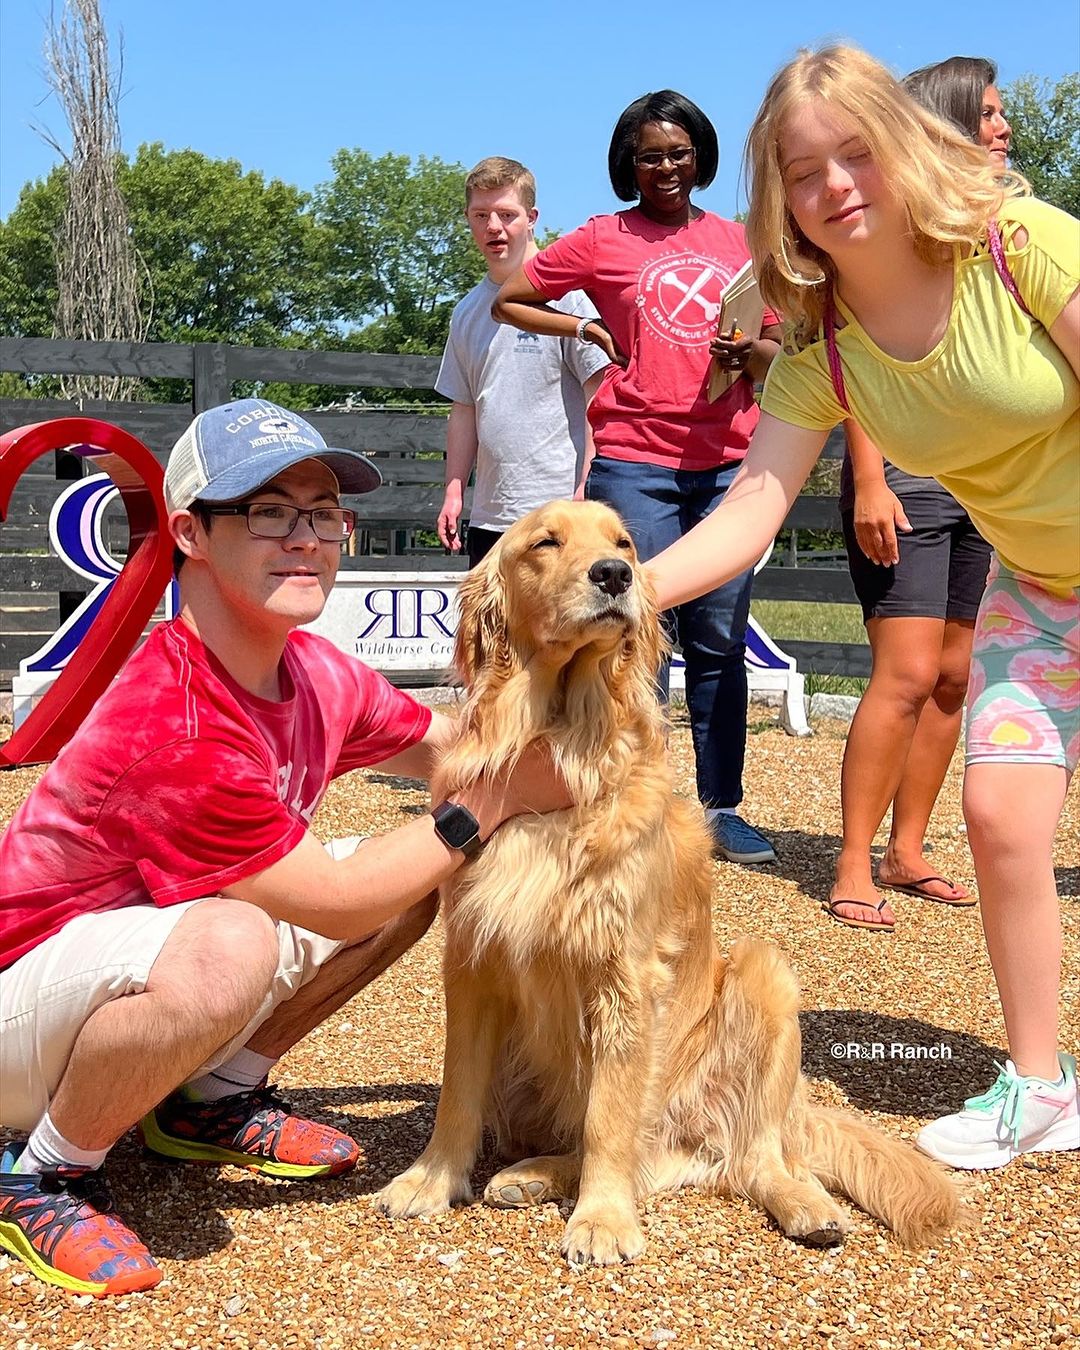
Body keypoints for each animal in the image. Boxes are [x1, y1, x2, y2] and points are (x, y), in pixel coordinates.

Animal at [378, 499, 961, 1263]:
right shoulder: (473, 957)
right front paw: (432, 1179)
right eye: (545, 542)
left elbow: (609, 1117)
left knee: (751, 1156)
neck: (565, 739)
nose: (614, 575)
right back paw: (531, 1174)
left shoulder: (626, 975)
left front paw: (601, 1219)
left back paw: (807, 1206)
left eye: (623, 542)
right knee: (662, 1158)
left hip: (765, 977)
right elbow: (457, 1091)